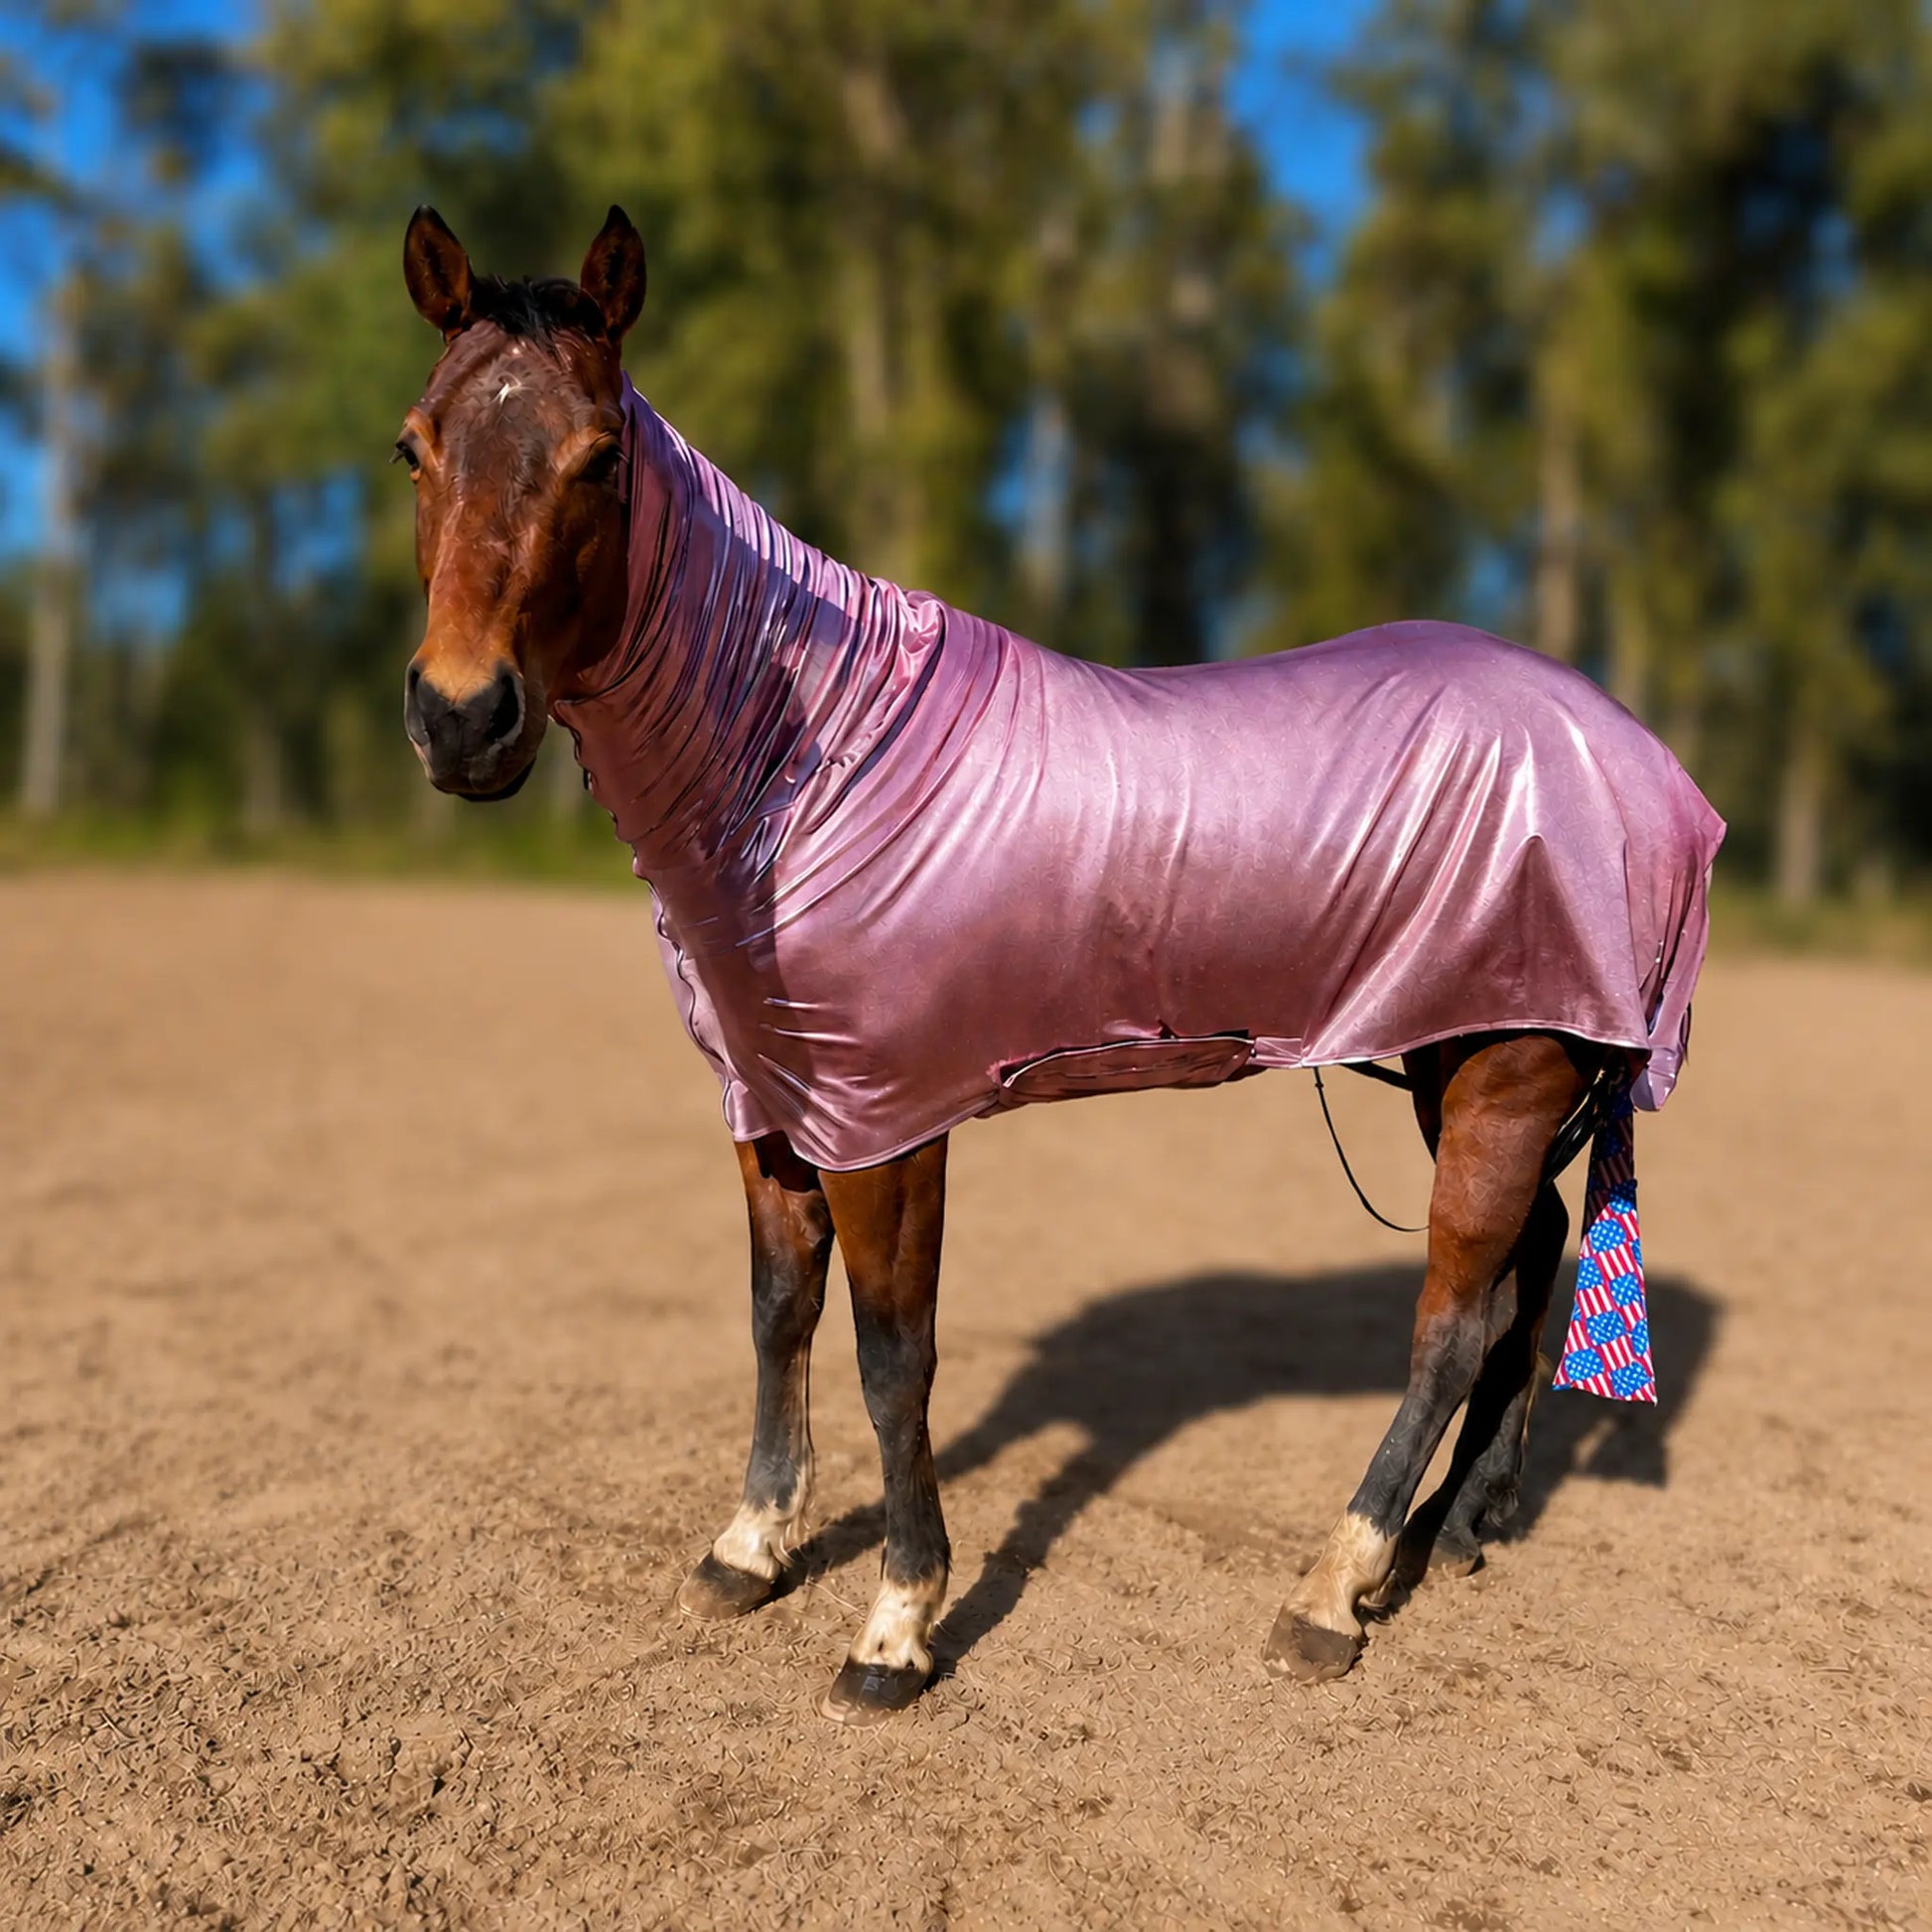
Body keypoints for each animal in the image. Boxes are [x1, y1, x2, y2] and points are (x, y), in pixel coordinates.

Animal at [395, 204, 1724, 1726]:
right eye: (415, 446)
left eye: (598, 455)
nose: (462, 718)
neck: (810, 756)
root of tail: (1642, 757)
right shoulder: (769, 1100)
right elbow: (778, 1312)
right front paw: (750, 1545)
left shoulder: (884, 1126)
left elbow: (892, 1354)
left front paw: (896, 1623)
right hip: (1475, 1054)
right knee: (1533, 1267)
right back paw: (1454, 1530)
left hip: (1507, 1069)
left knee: (1454, 1316)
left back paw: (1331, 1589)